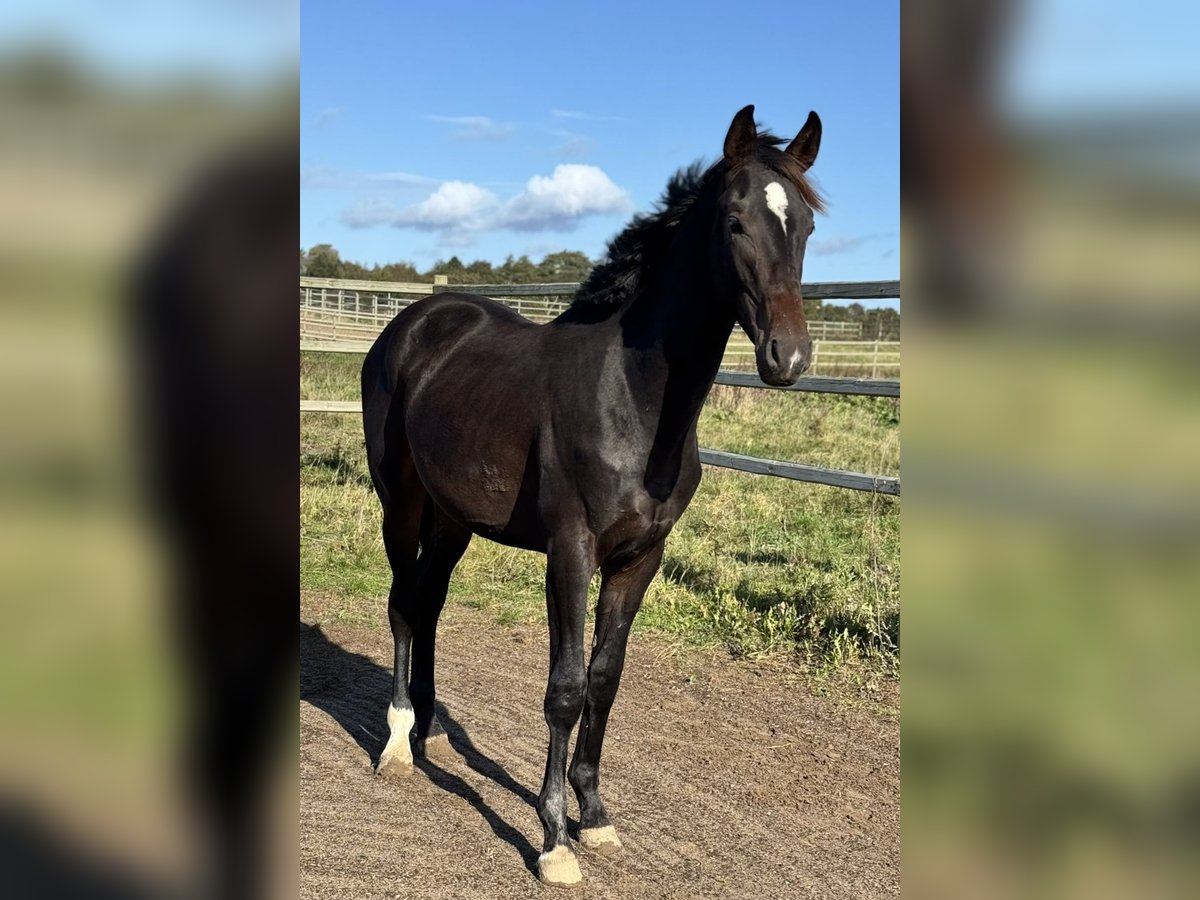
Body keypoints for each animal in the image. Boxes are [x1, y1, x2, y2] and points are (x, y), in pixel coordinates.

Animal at [360, 105, 820, 888]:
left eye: (808, 226)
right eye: (734, 221)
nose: (787, 356)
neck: (633, 400)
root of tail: (413, 322)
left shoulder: (640, 558)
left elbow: (605, 679)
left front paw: (595, 817)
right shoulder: (571, 551)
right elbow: (566, 687)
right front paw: (552, 841)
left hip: (454, 520)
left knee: (428, 604)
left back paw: (429, 731)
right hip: (404, 503)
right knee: (400, 605)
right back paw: (395, 743)